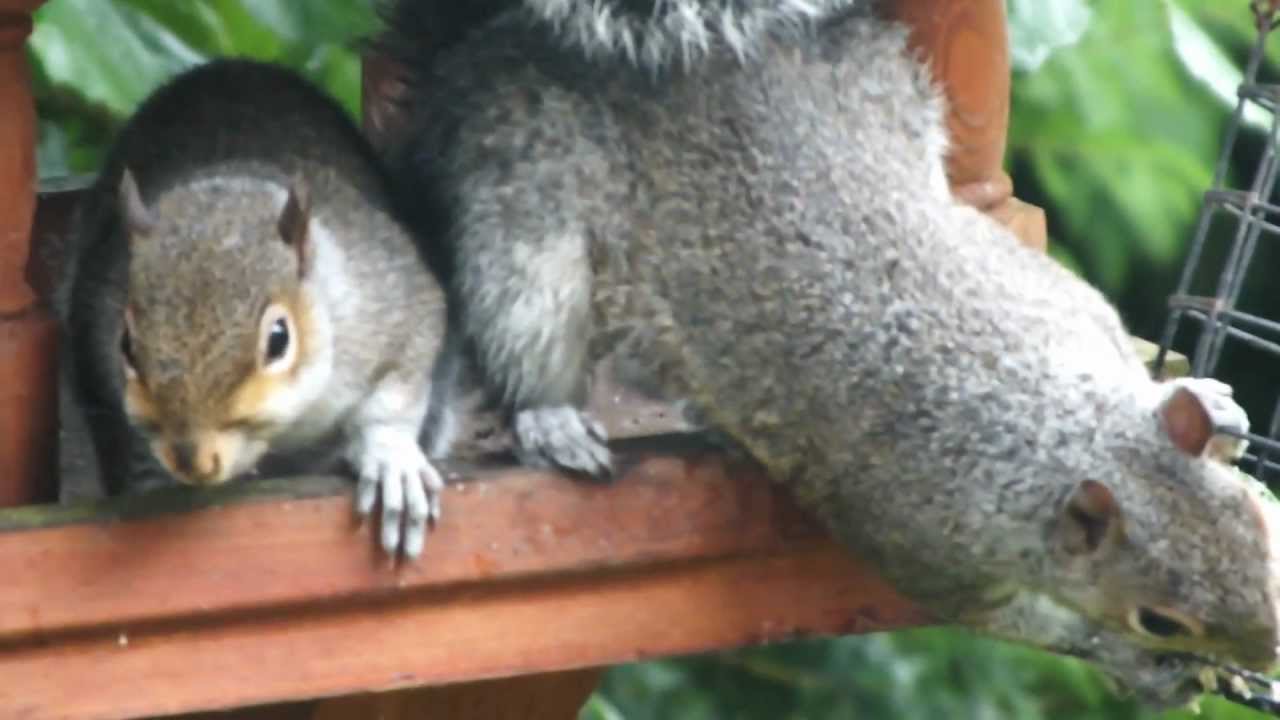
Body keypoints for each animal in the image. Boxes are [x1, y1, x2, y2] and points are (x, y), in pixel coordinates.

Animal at [56, 59, 455, 559]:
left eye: (279, 339)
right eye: (125, 345)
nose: (194, 460)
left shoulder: (392, 293)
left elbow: (398, 385)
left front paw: (390, 458)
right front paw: (150, 483)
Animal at [377, 1, 1280, 707]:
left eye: (1258, 518)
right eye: (1161, 618)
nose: (1269, 649)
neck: (1059, 425)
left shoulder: (1072, 305)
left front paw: (1216, 407)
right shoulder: (924, 541)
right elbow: (1015, 621)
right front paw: (1141, 666)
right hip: (526, 220)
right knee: (524, 329)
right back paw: (554, 419)